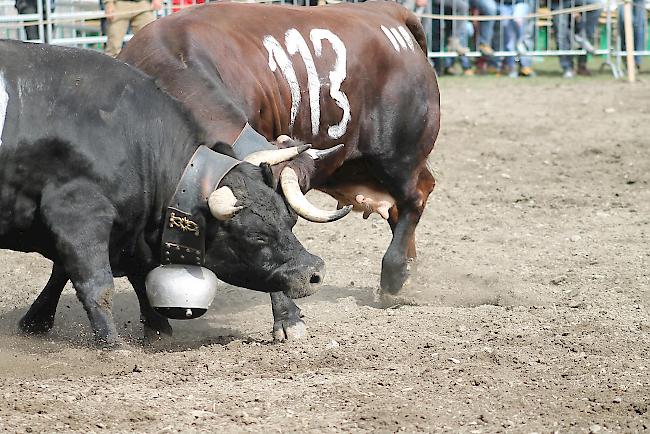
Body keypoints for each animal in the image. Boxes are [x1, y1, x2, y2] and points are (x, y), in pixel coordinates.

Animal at [0, 40, 324, 346]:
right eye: (256, 235)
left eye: (289, 220)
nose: (314, 272)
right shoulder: (78, 214)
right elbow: (96, 283)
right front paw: (111, 343)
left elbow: (133, 274)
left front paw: (157, 331)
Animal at [118, 0, 438, 340]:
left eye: (290, 221)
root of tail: (388, 12)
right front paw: (156, 326)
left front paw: (288, 318)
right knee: (399, 208)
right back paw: (406, 271)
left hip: (398, 157)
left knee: (415, 197)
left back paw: (394, 274)